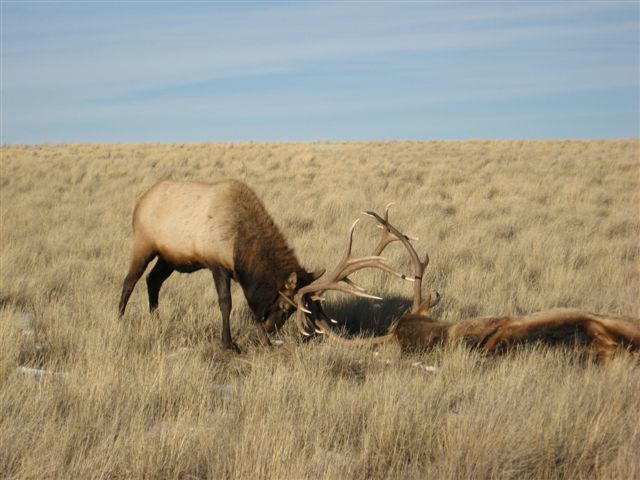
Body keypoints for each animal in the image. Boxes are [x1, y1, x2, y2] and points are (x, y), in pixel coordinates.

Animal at [119, 178, 336, 350]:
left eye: (292, 311)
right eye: (284, 305)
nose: (271, 329)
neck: (240, 245)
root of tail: (138, 200)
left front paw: (263, 342)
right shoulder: (217, 265)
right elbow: (225, 303)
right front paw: (228, 343)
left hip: (168, 258)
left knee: (153, 280)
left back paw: (156, 320)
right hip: (143, 244)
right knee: (129, 281)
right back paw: (120, 320)